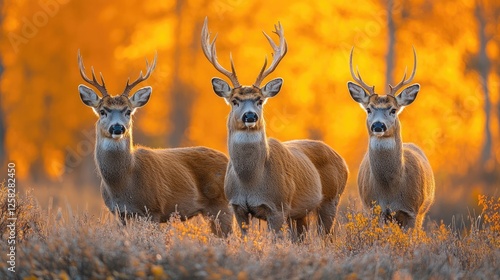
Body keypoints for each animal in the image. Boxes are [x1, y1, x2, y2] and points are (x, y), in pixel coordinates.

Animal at [77, 50, 233, 236]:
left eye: (128, 111)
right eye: (102, 111)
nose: (117, 127)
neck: (123, 183)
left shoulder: (153, 210)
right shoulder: (119, 213)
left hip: (221, 203)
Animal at [201, 18, 350, 238]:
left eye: (260, 100)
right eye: (235, 101)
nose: (250, 116)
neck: (250, 180)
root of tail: (342, 159)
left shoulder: (277, 207)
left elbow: (276, 240)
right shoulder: (237, 207)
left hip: (332, 198)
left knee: (326, 236)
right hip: (300, 213)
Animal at [348, 47, 434, 229]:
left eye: (393, 110)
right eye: (369, 109)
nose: (378, 125)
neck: (389, 191)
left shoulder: (412, 211)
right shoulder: (375, 210)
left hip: (422, 211)